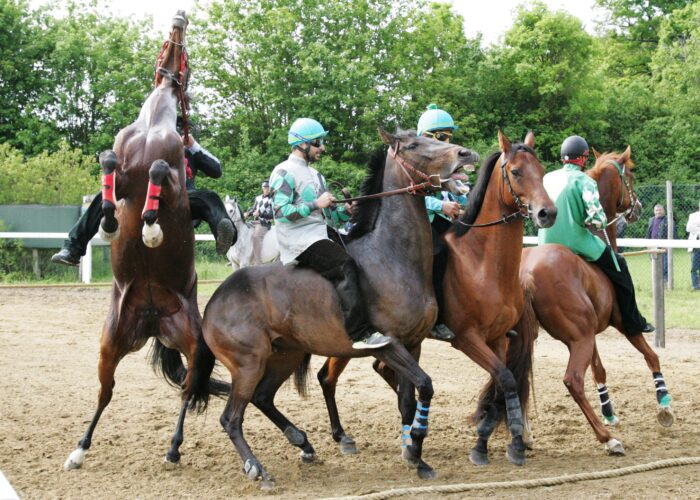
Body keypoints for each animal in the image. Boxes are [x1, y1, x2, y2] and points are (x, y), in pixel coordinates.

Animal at [63, 12, 227, 472]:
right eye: (166, 43)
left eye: (187, 56)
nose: (179, 20)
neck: (154, 123)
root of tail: (154, 320)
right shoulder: (121, 171)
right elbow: (107, 166)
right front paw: (108, 222)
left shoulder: (172, 184)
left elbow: (157, 174)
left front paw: (150, 229)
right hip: (110, 345)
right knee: (105, 393)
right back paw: (79, 449)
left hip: (194, 344)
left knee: (188, 392)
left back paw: (173, 447)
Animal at [187, 130, 482, 488]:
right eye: (414, 145)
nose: (466, 154)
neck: (391, 257)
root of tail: (216, 299)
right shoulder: (389, 345)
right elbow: (424, 385)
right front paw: (414, 450)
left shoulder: (414, 344)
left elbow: (408, 400)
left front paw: (417, 457)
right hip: (248, 365)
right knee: (231, 418)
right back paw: (258, 469)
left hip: (285, 355)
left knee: (263, 398)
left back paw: (303, 443)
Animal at [314, 131, 556, 466]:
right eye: (517, 171)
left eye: (542, 171)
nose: (547, 213)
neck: (483, 262)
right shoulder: (467, 339)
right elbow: (505, 379)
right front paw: (488, 445)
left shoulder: (498, 339)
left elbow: (500, 385)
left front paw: (494, 441)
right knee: (327, 377)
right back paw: (345, 437)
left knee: (380, 372)